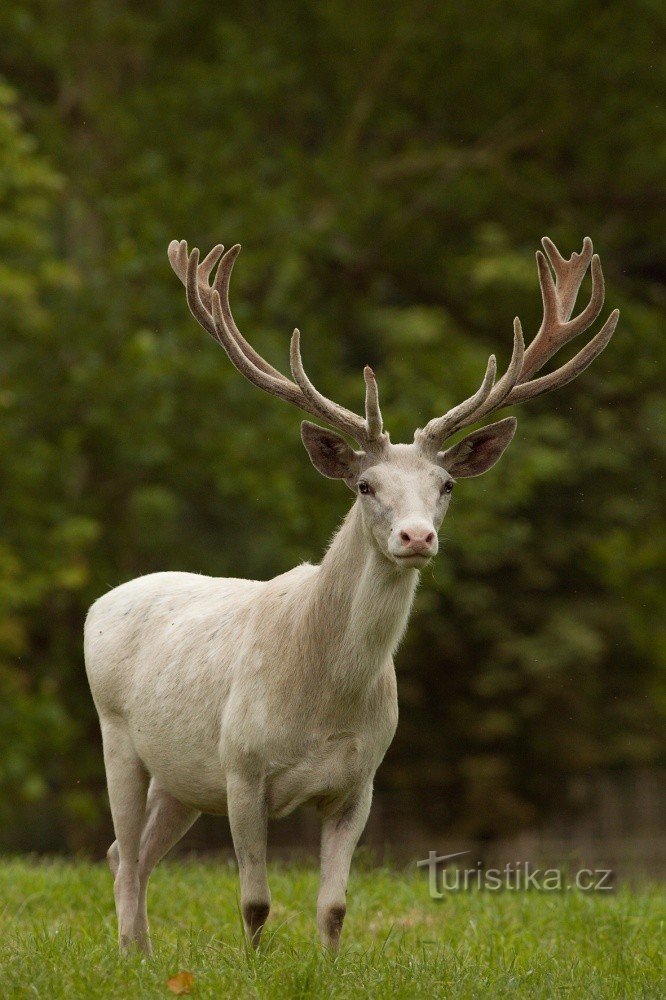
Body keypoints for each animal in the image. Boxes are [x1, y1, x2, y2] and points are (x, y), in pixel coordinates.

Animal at [84, 234, 616, 952]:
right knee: (121, 849)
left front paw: (329, 966)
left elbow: (334, 906)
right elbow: (254, 903)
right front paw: (254, 968)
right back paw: (133, 956)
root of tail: (100, 602)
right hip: (118, 735)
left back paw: (140, 952)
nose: (417, 536)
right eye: (365, 485)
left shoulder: (361, 782)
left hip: (181, 777)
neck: (322, 701)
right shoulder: (241, 767)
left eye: (446, 485)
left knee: (132, 852)